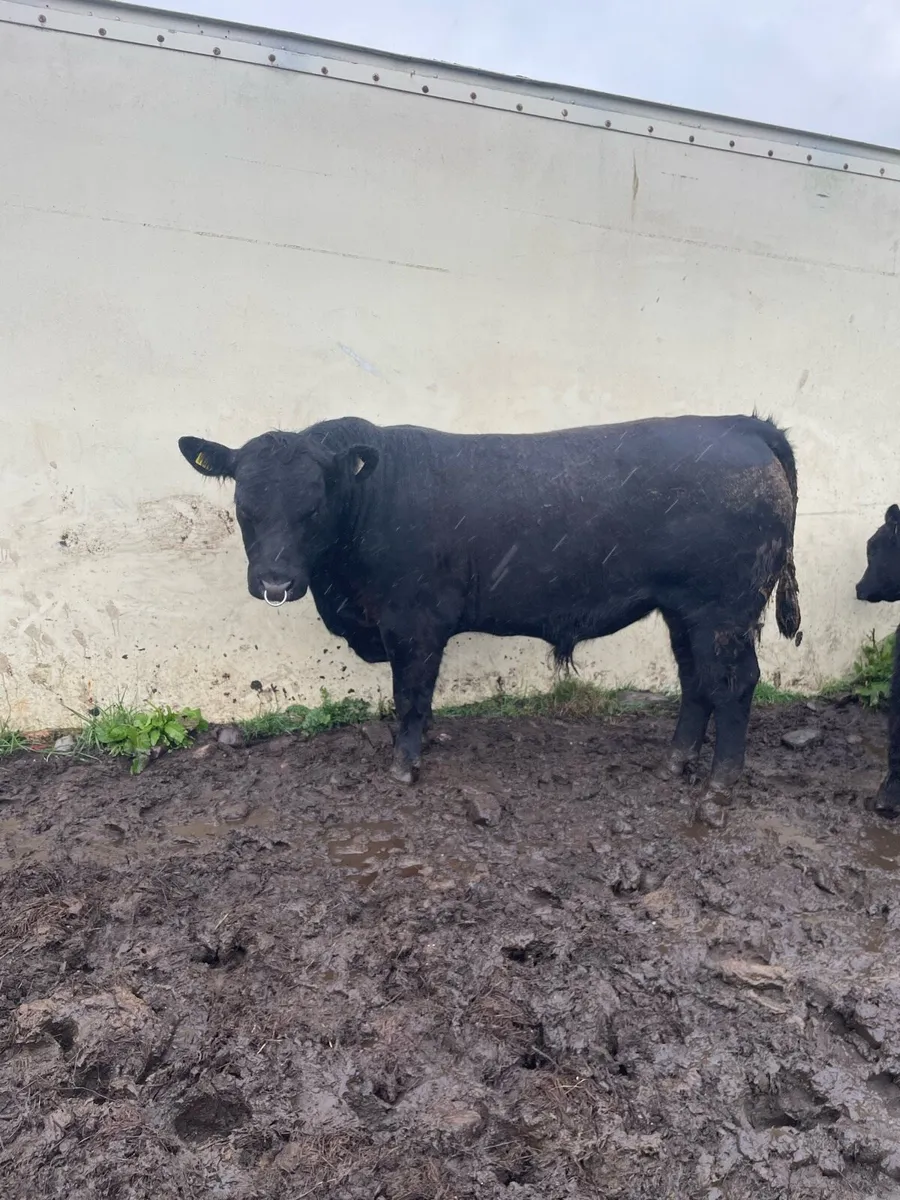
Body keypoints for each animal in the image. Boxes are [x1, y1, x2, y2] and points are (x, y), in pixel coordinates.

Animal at [179, 413, 801, 806]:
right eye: (245, 506)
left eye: (313, 506)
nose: (275, 581)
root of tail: (741, 424)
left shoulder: (414, 623)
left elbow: (410, 697)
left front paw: (404, 765)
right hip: (684, 611)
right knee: (696, 682)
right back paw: (674, 762)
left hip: (723, 611)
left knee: (734, 684)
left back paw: (719, 787)